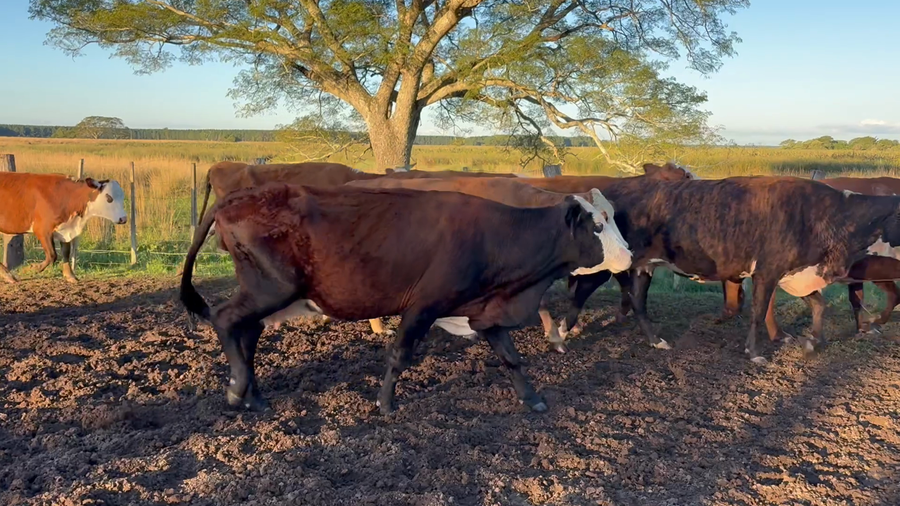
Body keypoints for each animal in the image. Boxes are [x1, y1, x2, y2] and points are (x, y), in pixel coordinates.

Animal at [179, 182, 632, 414]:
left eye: (610, 217)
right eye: (597, 224)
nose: (628, 255)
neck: (495, 236)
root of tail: (233, 198)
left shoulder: (485, 312)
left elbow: (511, 357)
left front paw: (533, 399)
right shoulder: (423, 306)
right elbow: (399, 355)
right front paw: (385, 404)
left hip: (264, 292)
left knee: (247, 332)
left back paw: (255, 397)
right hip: (270, 288)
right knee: (225, 320)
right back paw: (236, 392)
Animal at [576, 175, 900, 364]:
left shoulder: (794, 273)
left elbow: (820, 305)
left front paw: (815, 343)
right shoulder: (767, 271)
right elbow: (758, 312)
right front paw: (754, 353)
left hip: (645, 266)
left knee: (638, 300)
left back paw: (655, 340)